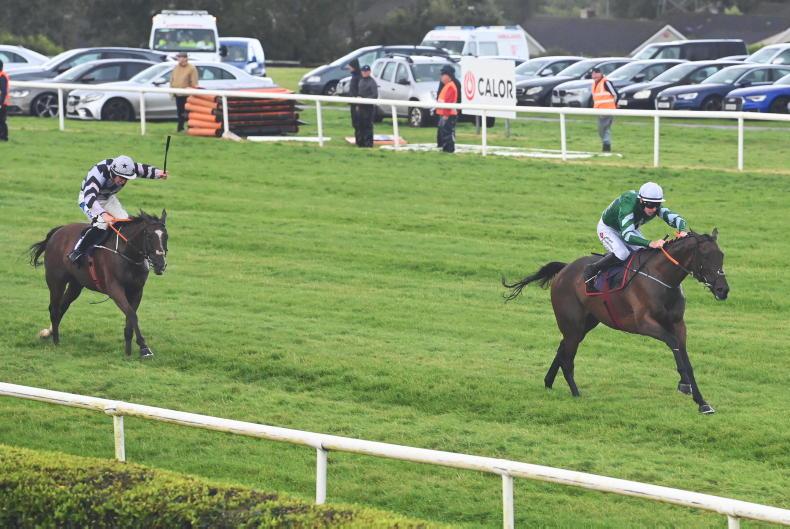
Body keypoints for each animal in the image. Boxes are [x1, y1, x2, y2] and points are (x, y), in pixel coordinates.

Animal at [29, 210, 169, 358]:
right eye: (149, 236)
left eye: (166, 236)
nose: (160, 264)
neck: (127, 255)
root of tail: (58, 231)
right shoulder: (115, 289)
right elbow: (132, 315)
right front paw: (144, 348)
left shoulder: (137, 291)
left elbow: (130, 317)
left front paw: (128, 350)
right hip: (56, 281)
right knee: (54, 309)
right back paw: (56, 341)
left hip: (75, 285)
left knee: (63, 307)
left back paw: (49, 334)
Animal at [502, 230, 729, 414]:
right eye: (706, 256)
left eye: (722, 256)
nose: (723, 290)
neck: (662, 278)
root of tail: (565, 269)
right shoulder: (643, 323)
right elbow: (673, 344)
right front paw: (684, 385)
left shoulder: (679, 324)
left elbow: (686, 359)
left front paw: (702, 402)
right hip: (573, 324)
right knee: (567, 358)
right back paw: (576, 393)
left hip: (586, 323)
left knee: (562, 348)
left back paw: (548, 382)